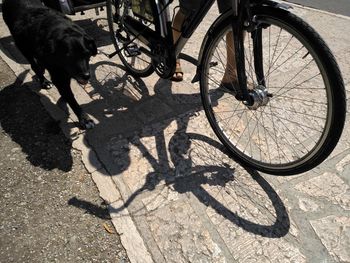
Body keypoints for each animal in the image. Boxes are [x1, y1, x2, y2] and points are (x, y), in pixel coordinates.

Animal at [3, 0, 98, 129]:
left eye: (87, 54)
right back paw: (43, 81)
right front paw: (84, 118)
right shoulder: (58, 75)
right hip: (24, 48)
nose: (86, 76)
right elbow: (71, 98)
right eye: (69, 57)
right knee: (34, 66)